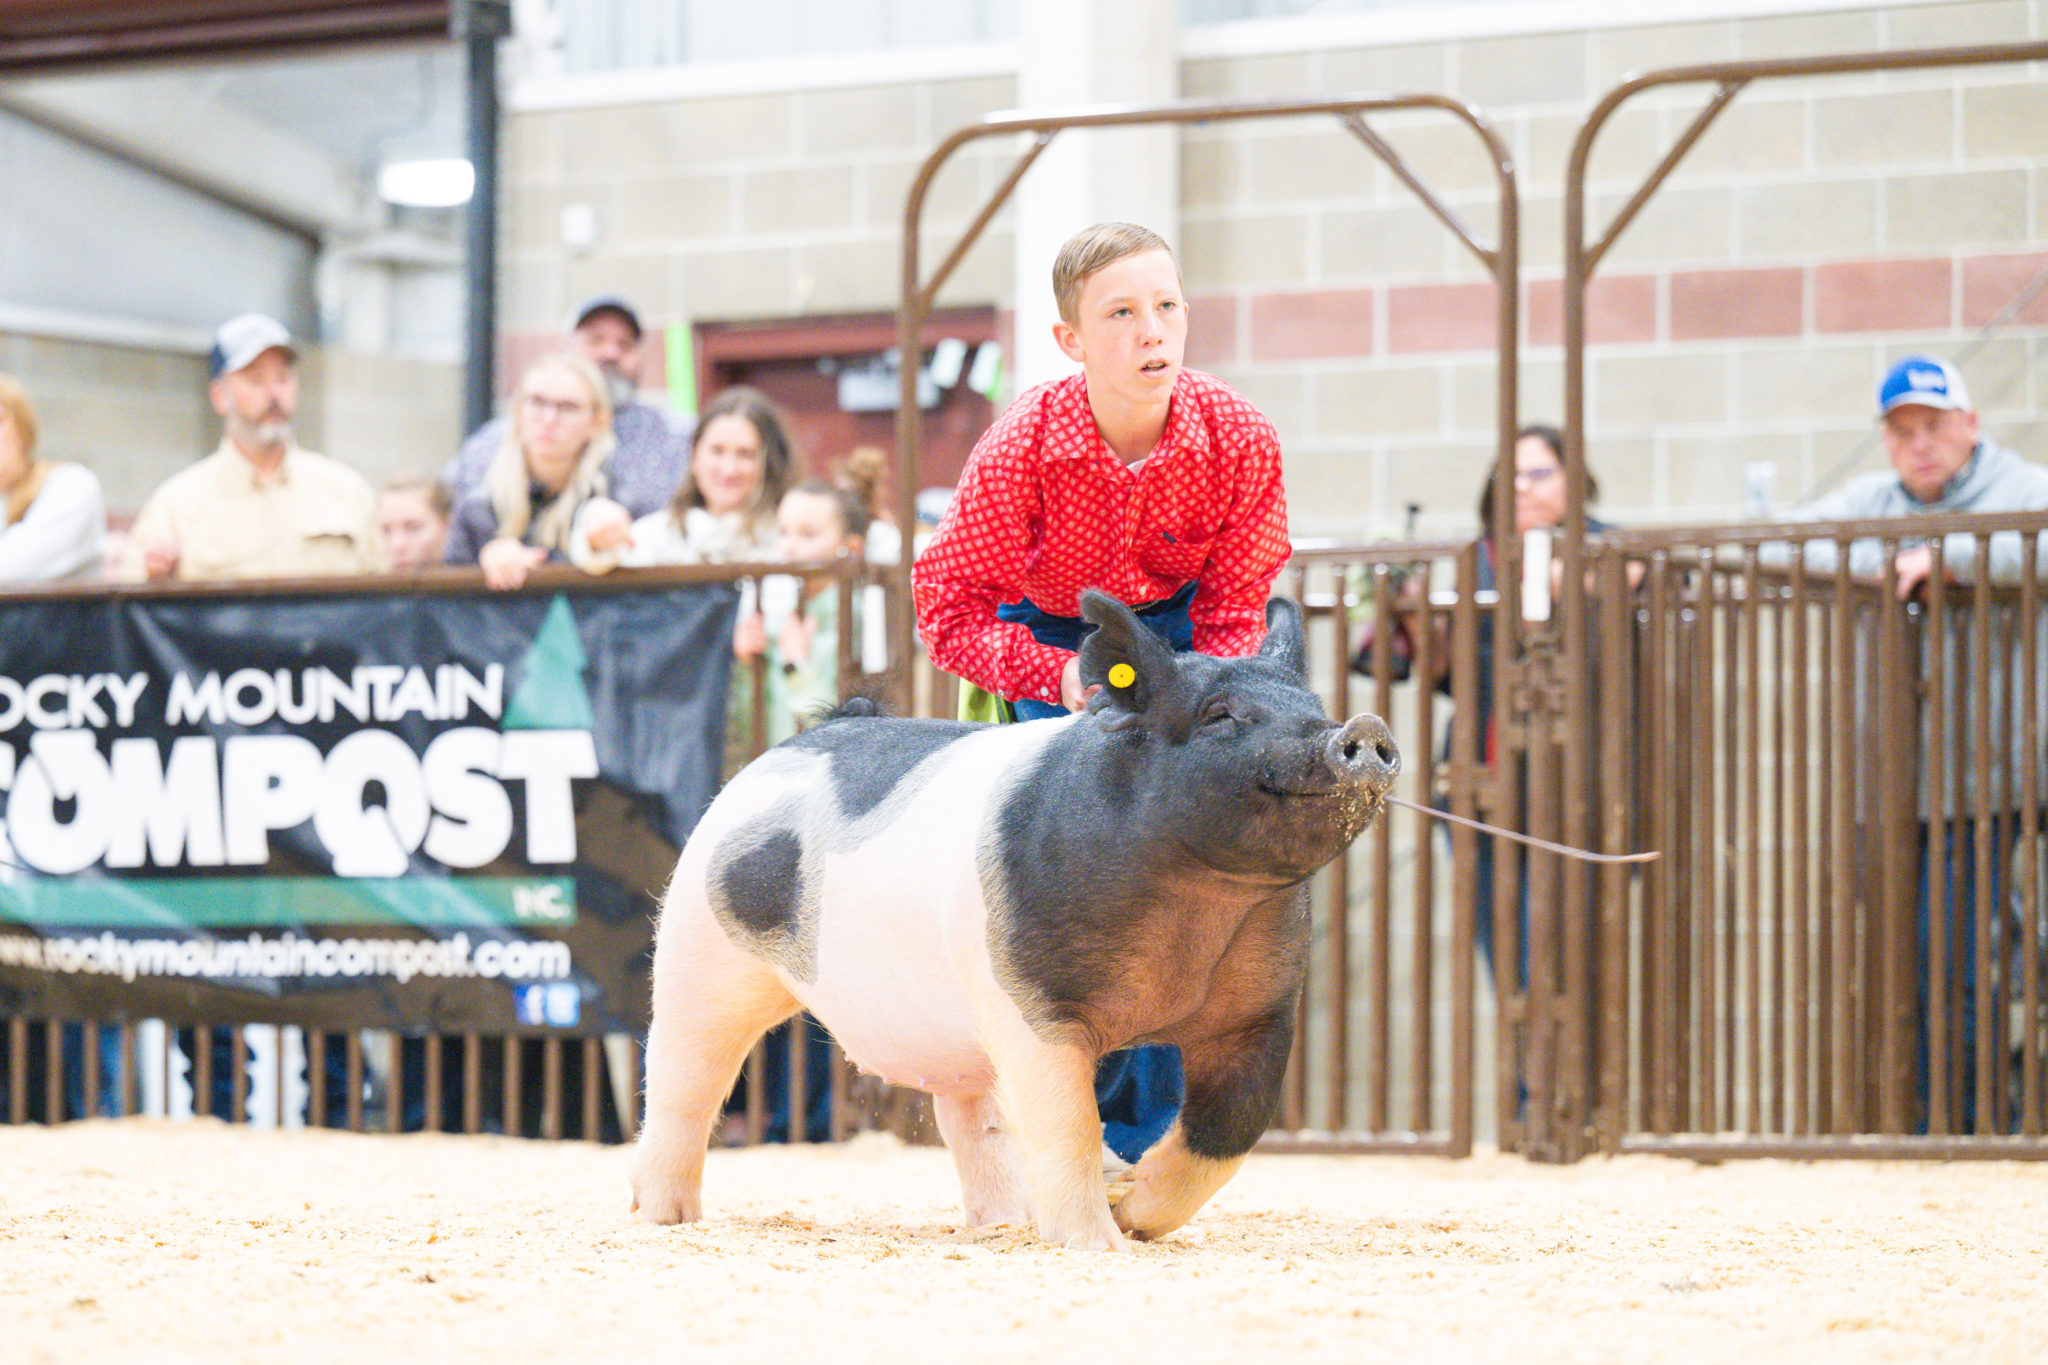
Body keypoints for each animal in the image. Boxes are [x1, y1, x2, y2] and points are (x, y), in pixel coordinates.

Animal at [629, 589, 1399, 1249]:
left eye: (1315, 704)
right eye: (1220, 715)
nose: (1362, 728)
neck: (1199, 912)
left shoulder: (1260, 1011)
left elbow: (1231, 1128)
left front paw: (1134, 1217)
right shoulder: (1033, 1005)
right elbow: (1069, 1124)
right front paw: (1100, 1243)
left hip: (951, 1025)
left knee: (971, 1119)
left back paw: (1003, 1225)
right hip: (701, 949)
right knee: (680, 1085)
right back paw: (663, 1217)